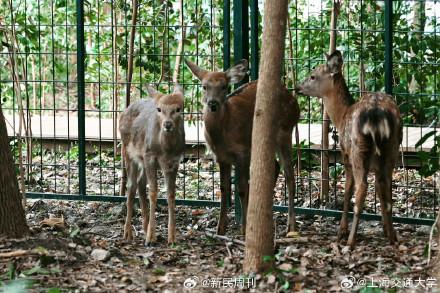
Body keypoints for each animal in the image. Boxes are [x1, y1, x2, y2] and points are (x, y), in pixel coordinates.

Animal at [117, 83, 185, 243]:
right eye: (159, 109)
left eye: (178, 109)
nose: (167, 124)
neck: (166, 149)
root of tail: (124, 111)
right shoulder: (149, 156)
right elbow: (153, 192)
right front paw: (150, 238)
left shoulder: (174, 162)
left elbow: (171, 194)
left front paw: (172, 237)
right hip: (128, 151)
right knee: (131, 186)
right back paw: (128, 233)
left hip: (142, 160)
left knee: (140, 183)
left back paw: (144, 226)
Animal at [184, 58, 300, 235]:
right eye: (204, 86)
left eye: (224, 86)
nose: (213, 103)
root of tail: (294, 102)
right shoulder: (221, 157)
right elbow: (224, 188)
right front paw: (220, 229)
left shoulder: (242, 152)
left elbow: (242, 188)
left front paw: (244, 229)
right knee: (275, 166)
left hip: (286, 131)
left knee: (289, 175)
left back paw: (291, 226)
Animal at [294, 50, 404, 249]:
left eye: (313, 76)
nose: (297, 87)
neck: (341, 115)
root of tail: (377, 116)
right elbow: (381, 191)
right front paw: (386, 229)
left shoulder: (345, 155)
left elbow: (347, 191)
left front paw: (341, 231)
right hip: (392, 148)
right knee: (386, 187)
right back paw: (393, 237)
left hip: (357, 150)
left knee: (361, 189)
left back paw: (350, 241)